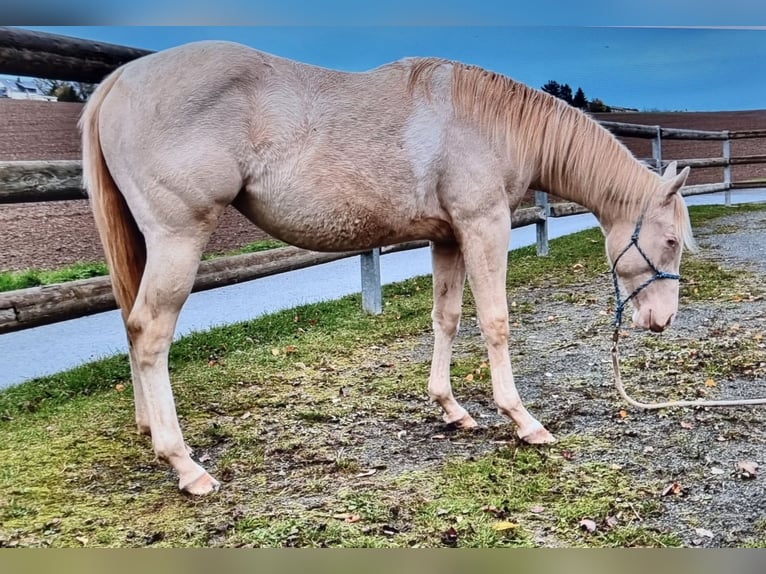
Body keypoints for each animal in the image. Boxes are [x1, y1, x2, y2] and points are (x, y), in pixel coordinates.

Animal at [81, 41, 700, 500]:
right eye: (670, 240)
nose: (662, 320)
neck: (491, 123)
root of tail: (119, 80)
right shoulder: (484, 227)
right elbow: (495, 322)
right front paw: (523, 421)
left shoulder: (447, 237)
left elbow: (447, 318)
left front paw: (451, 409)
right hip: (179, 238)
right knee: (150, 333)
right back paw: (185, 465)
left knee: (131, 324)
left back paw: (149, 431)